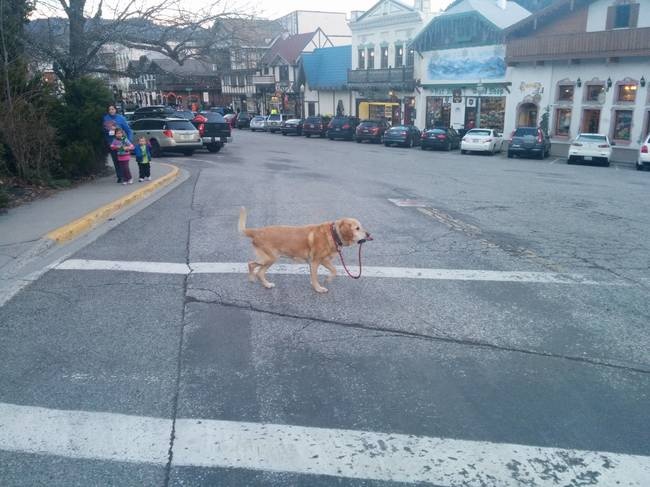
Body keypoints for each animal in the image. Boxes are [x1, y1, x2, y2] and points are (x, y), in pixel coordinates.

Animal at [237, 207, 370, 294]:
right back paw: (256, 280)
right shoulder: (315, 262)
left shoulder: (324, 261)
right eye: (357, 228)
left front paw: (328, 279)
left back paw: (262, 283)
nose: (369, 234)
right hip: (269, 258)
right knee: (253, 266)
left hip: (269, 259)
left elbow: (334, 270)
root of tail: (256, 231)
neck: (333, 234)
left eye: (361, 227)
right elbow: (315, 277)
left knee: (257, 269)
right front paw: (318, 288)